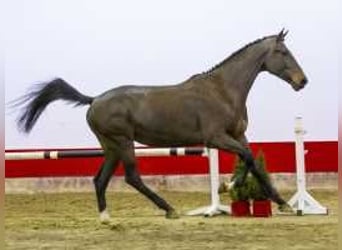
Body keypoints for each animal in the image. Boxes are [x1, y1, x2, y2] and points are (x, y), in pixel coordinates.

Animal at [15, 29, 308, 223]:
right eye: (282, 52)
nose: (302, 81)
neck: (223, 91)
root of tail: (94, 99)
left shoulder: (239, 134)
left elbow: (253, 162)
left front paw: (284, 205)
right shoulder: (215, 138)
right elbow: (246, 158)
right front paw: (227, 186)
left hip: (111, 146)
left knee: (100, 179)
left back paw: (107, 218)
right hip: (123, 142)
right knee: (132, 177)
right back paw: (169, 209)